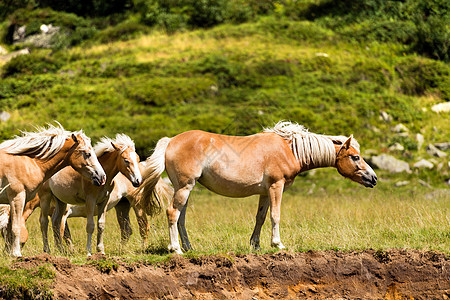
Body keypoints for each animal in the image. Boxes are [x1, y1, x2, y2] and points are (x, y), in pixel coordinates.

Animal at [0, 123, 105, 256]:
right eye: (87, 154)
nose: (102, 177)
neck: (29, 162)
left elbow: (11, 226)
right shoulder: (17, 197)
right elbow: (16, 227)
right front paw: (16, 254)